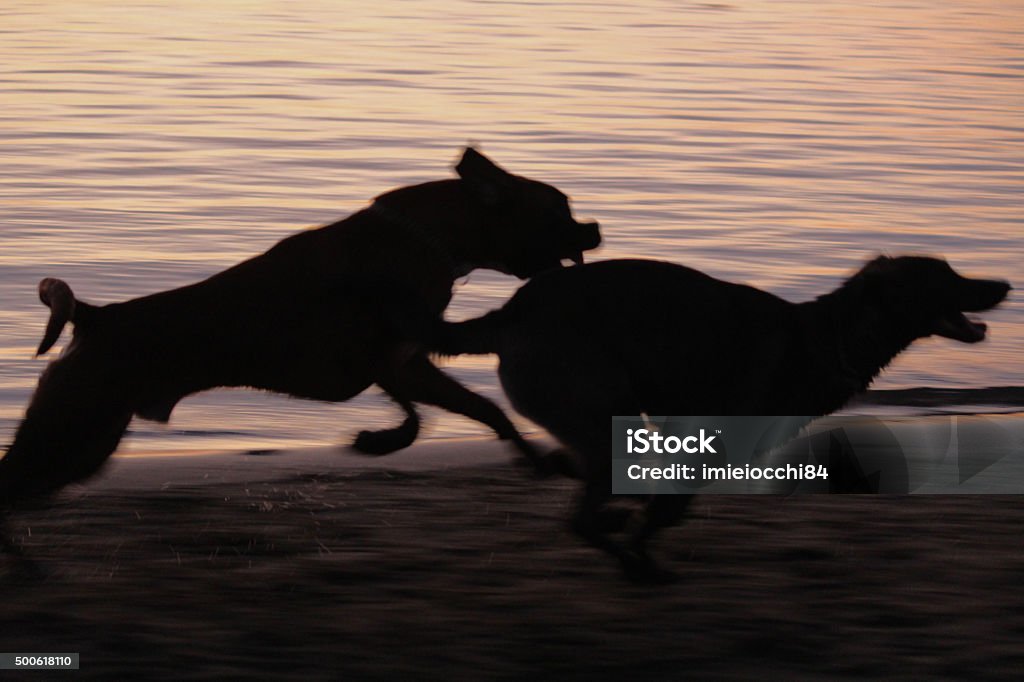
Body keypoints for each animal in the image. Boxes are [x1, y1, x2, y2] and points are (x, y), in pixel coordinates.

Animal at [0, 148, 598, 509]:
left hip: (82, 435)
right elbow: (423, 414)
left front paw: (532, 461)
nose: (594, 227)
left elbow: (484, 411)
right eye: (560, 207)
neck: (428, 236)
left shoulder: (405, 365)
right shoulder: (393, 362)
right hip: (76, 430)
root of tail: (94, 316)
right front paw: (382, 439)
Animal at [428, 254, 1011, 577]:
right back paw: (631, 555)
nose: (1005, 285)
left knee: (585, 492)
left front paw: (631, 522)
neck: (828, 337)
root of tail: (509, 314)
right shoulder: (708, 437)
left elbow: (663, 501)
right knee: (583, 511)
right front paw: (637, 538)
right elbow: (666, 508)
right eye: (946, 276)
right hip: (604, 409)